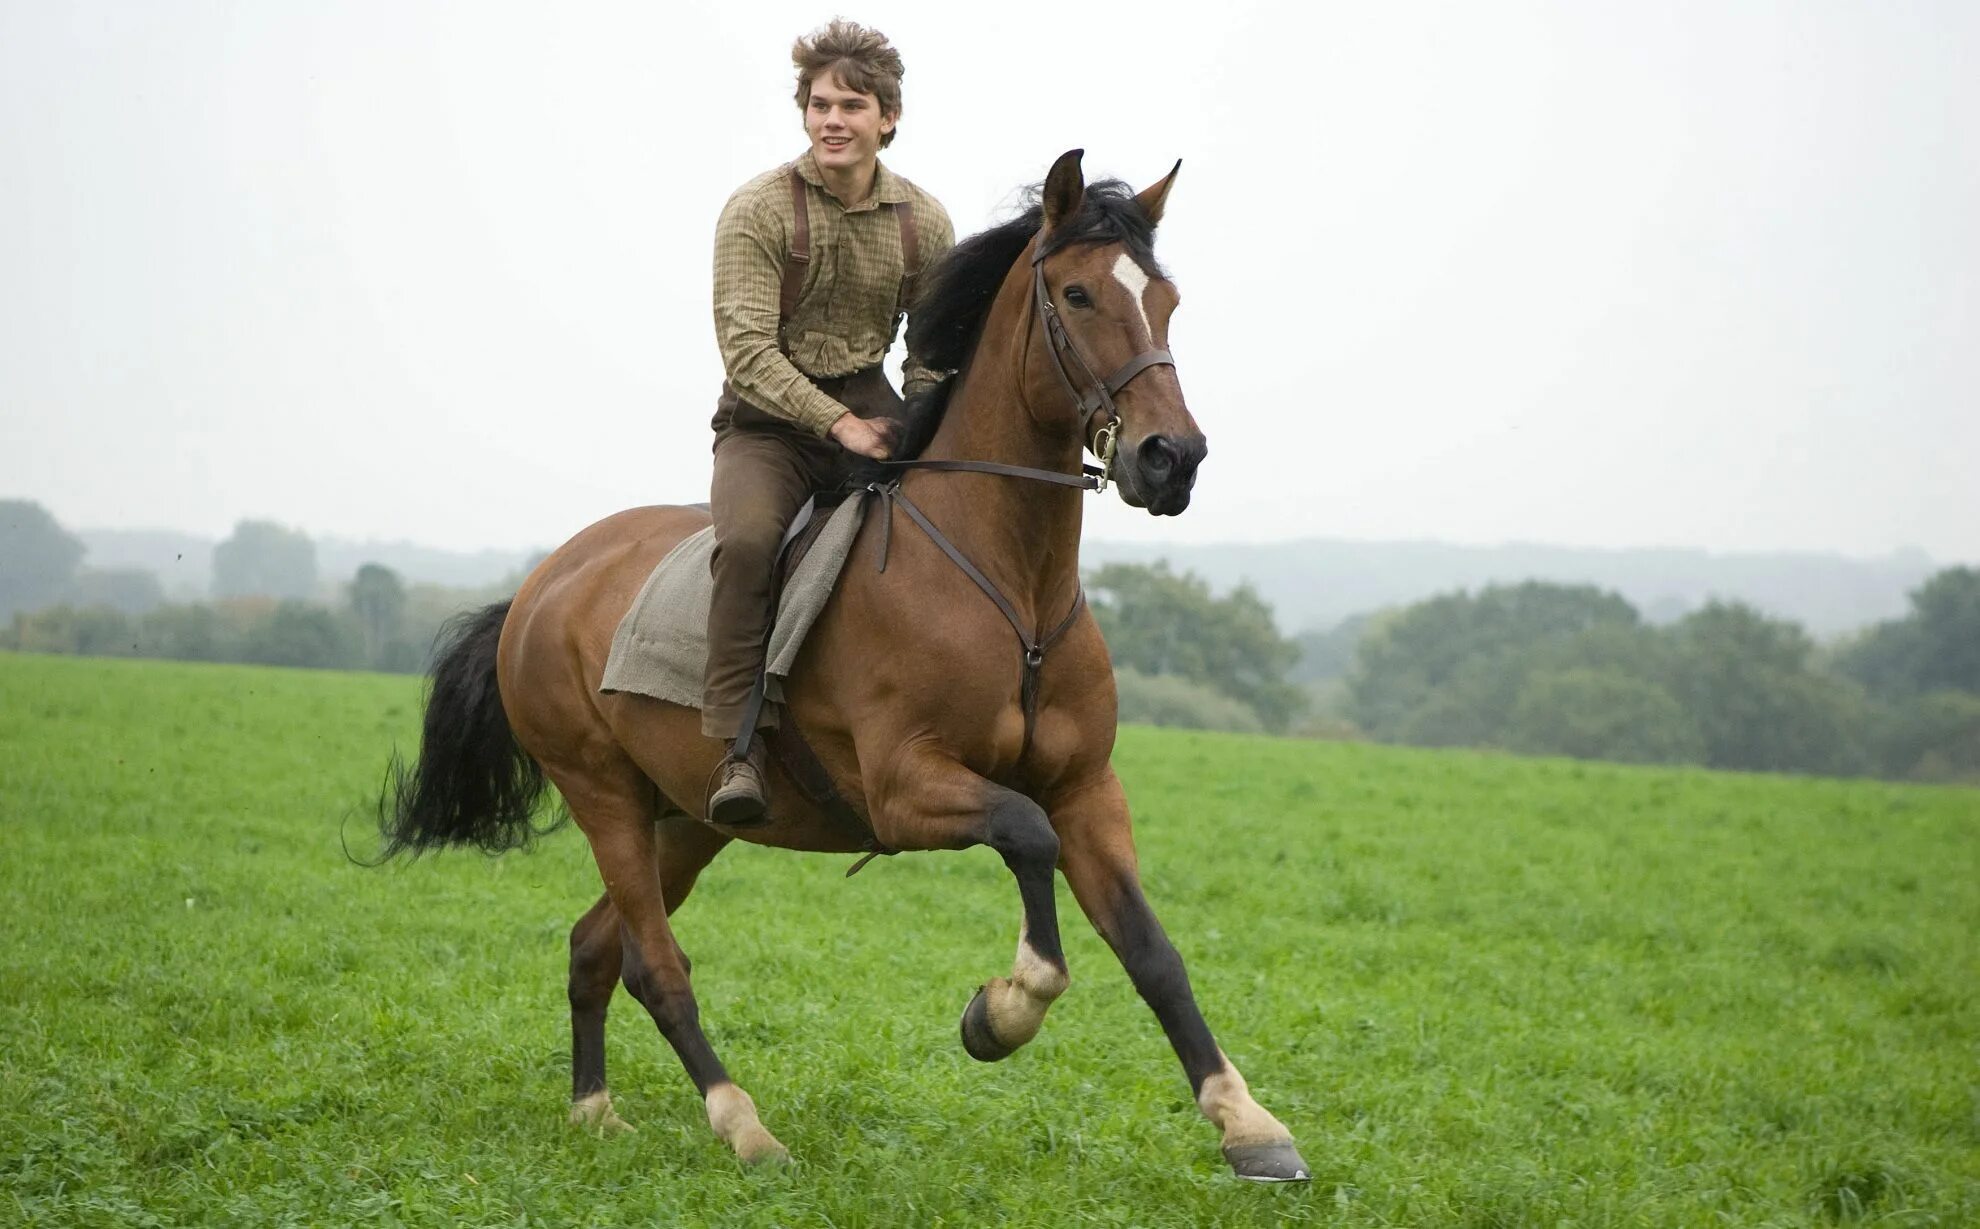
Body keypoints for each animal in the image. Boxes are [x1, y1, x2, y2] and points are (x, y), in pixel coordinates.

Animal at [382, 151, 1314, 1179]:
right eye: (1076, 294)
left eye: (1167, 300)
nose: (1171, 458)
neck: (1007, 584)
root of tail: (540, 584)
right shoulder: (908, 788)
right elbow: (1027, 839)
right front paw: (1001, 1011)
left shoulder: (1087, 788)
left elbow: (1152, 950)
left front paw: (1250, 1125)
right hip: (605, 799)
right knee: (655, 966)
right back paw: (744, 1126)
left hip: (689, 818)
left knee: (597, 947)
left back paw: (596, 1110)